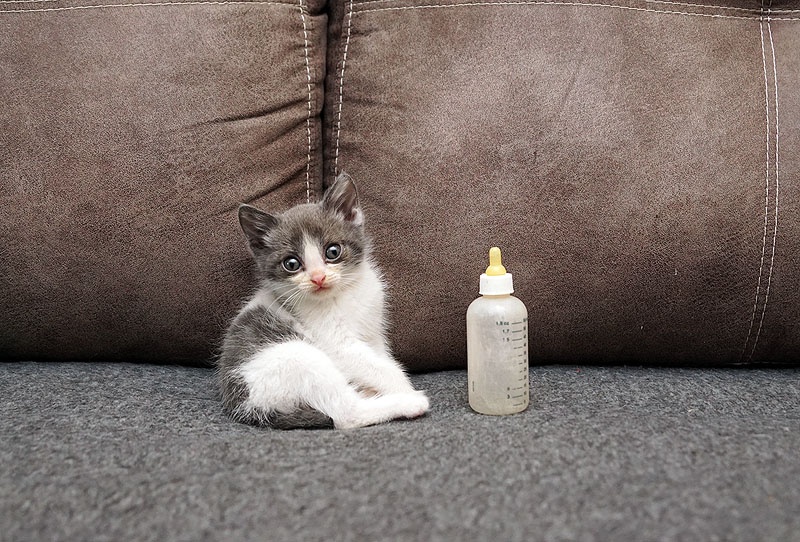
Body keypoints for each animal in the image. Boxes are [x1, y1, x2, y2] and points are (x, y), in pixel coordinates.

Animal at [218, 173, 430, 429]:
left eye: (333, 251)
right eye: (291, 263)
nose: (318, 278)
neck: (343, 294)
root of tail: (247, 404)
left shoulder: (373, 334)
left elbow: (382, 359)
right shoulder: (337, 344)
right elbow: (382, 369)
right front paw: (405, 389)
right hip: (298, 358)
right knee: (345, 414)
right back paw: (409, 403)